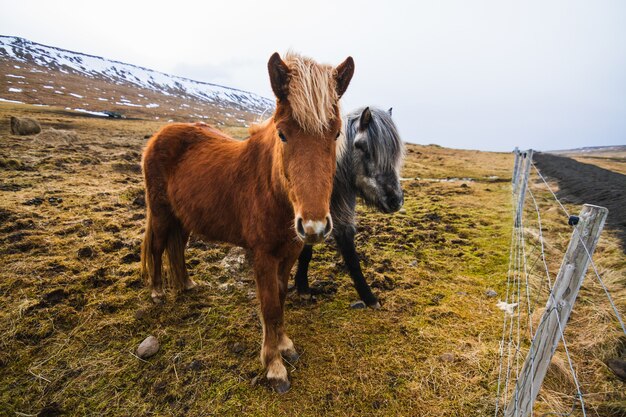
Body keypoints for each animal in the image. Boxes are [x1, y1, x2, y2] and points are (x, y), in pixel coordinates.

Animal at [141, 51, 354, 390]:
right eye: (282, 133)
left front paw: (285, 345)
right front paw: (274, 366)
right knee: (159, 247)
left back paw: (186, 284)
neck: (272, 189)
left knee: (177, 249)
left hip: (182, 218)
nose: (314, 226)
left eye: (336, 133)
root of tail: (159, 135)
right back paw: (158, 293)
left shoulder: (290, 253)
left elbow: (281, 298)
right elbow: (269, 305)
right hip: (161, 214)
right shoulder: (263, 256)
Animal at [294, 105, 404, 306]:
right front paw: (303, 288)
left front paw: (369, 298)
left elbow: (352, 258)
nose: (396, 201)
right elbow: (305, 252)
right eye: (364, 148)